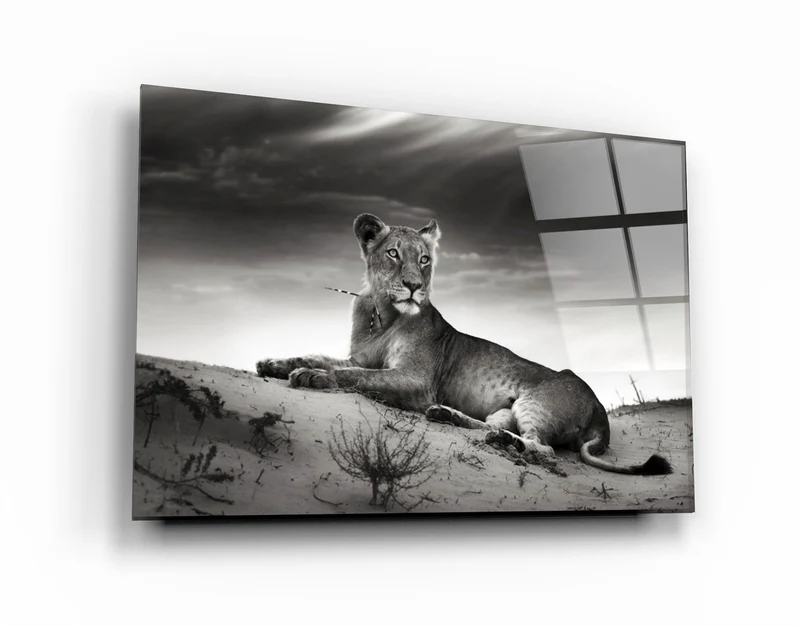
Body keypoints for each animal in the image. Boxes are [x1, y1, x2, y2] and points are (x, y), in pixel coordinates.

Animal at [257, 213, 672, 475]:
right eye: (393, 253)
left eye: (425, 259)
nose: (414, 286)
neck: (383, 315)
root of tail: (601, 410)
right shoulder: (361, 358)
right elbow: (322, 357)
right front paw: (274, 364)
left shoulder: (416, 381)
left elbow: (354, 377)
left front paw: (311, 377)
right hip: (506, 409)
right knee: (490, 426)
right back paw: (449, 416)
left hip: (535, 404)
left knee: (544, 448)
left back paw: (504, 442)